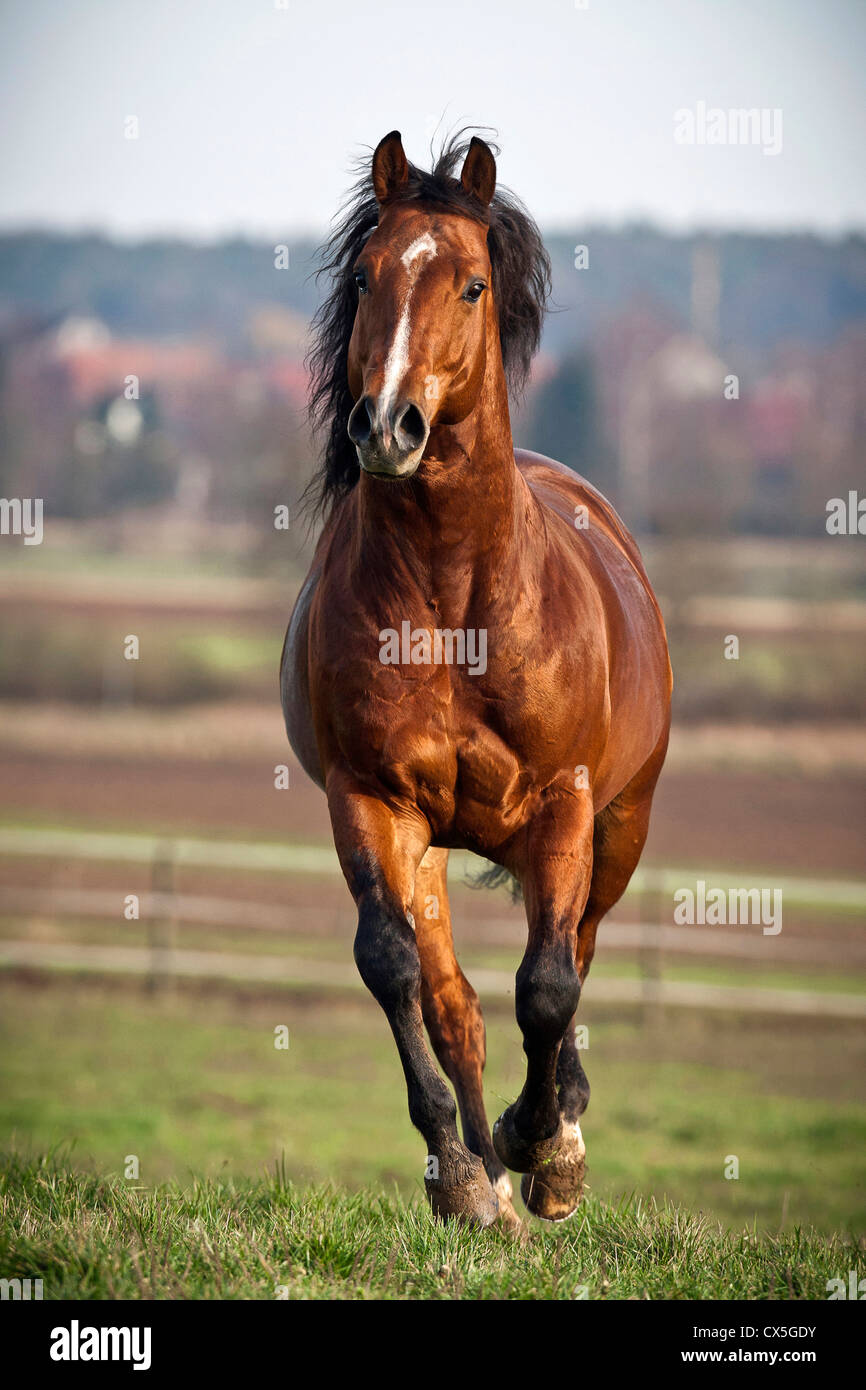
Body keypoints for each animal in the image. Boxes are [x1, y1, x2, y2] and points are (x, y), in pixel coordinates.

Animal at [280, 132, 675, 1228]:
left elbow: (548, 986)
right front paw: (462, 1173)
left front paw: (544, 1148)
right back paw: (490, 1184)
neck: (454, 595)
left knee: (579, 952)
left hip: (619, 825)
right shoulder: (370, 800)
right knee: (455, 1002)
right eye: (364, 277)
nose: (386, 427)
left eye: (470, 283)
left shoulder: (564, 806)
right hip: (429, 844)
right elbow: (395, 970)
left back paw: (552, 1144)